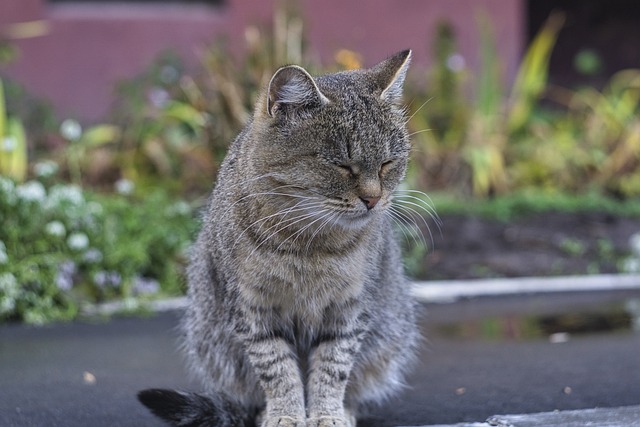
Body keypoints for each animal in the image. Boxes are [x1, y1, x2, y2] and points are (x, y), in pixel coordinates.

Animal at [139, 49, 420, 427]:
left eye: (388, 163)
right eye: (342, 165)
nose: (373, 199)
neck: (311, 242)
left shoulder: (349, 309)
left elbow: (332, 368)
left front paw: (327, 414)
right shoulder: (252, 308)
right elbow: (277, 370)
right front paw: (285, 414)